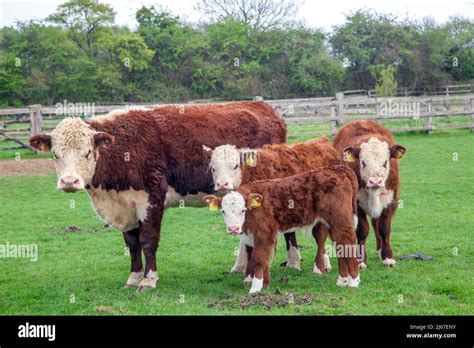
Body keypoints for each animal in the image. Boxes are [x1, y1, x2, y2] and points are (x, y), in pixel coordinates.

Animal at [31, 102, 286, 290]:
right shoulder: (126, 204)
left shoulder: (151, 198)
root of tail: (262, 106)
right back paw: (240, 267)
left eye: (87, 152)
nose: (69, 181)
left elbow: (147, 241)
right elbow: (132, 243)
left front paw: (148, 280)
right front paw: (133, 278)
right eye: (55, 154)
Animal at [203, 166, 360, 294]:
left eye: (243, 210)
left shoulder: (264, 233)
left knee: (348, 242)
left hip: (341, 220)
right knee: (340, 245)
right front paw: (264, 285)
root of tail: (338, 169)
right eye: (223, 211)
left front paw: (255, 289)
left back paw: (353, 281)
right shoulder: (253, 237)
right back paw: (342, 281)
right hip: (333, 224)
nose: (233, 228)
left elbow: (258, 259)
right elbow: (259, 258)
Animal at [204, 137, 340, 276]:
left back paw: (322, 265)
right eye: (213, 168)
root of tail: (321, 140)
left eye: (235, 166)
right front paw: (239, 267)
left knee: (322, 234)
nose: (222, 184)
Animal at [332, 121, 406, 268]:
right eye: (363, 162)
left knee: (376, 223)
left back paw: (380, 250)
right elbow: (362, 230)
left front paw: (388, 257)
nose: (375, 181)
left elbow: (384, 229)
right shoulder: (356, 204)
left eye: (385, 162)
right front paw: (361, 260)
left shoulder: (390, 202)